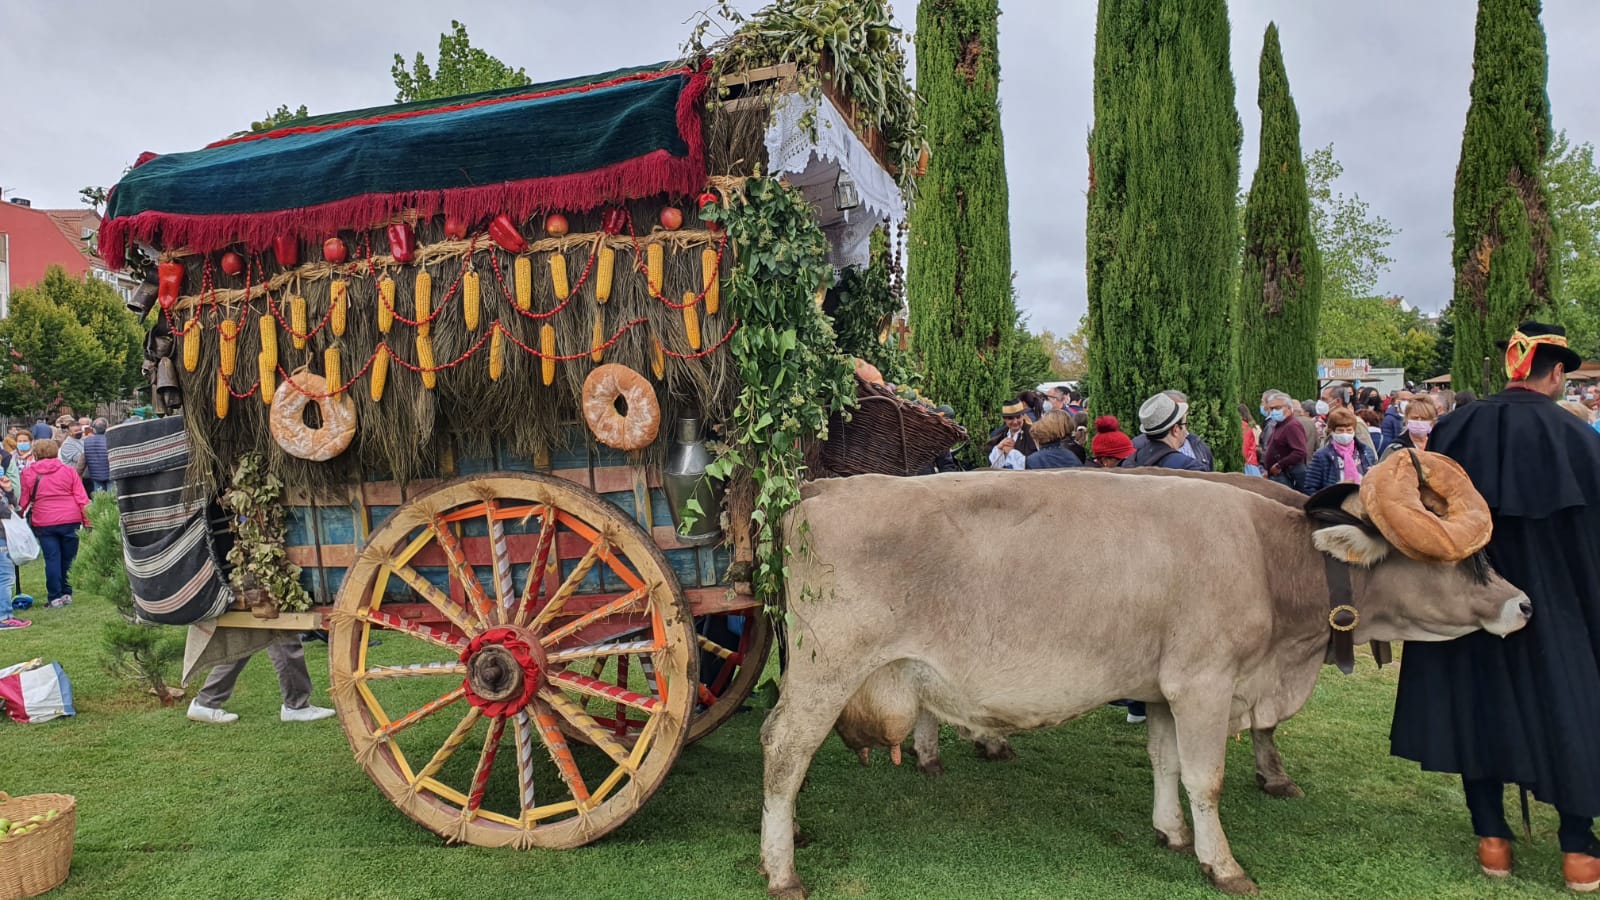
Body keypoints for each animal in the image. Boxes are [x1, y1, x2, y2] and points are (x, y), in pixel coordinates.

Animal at [768, 470, 1529, 890]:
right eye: (1457, 558)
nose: (1523, 605)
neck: (1266, 559)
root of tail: (822, 489)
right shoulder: (1205, 683)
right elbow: (1207, 778)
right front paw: (1223, 866)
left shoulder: (1166, 689)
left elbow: (1166, 763)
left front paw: (1172, 834)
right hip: (824, 671)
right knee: (783, 752)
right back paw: (781, 869)